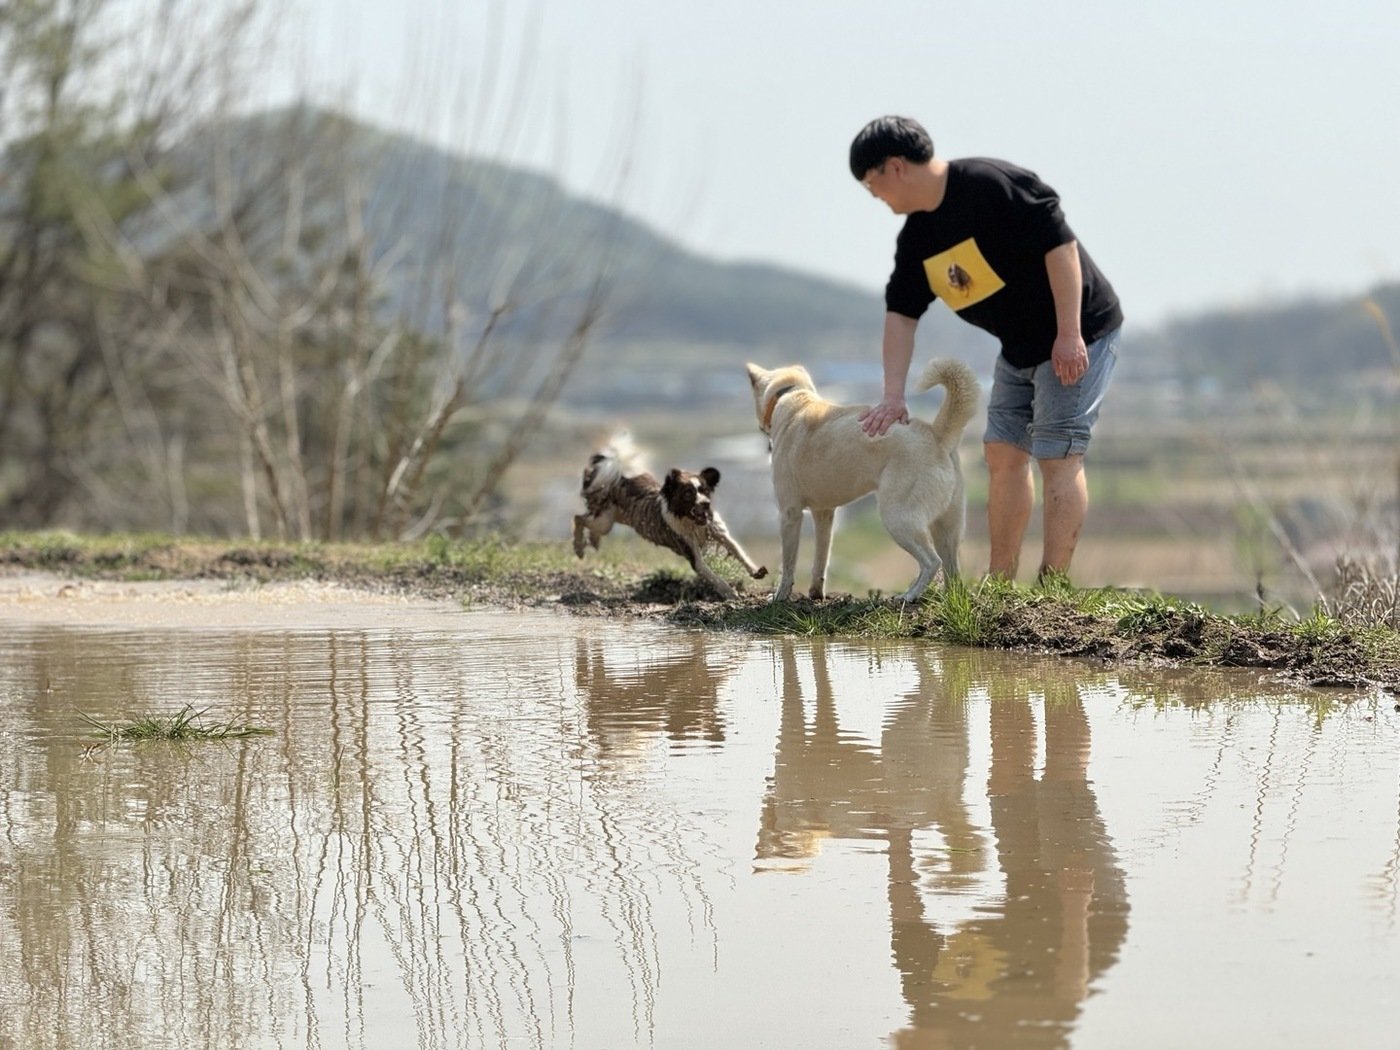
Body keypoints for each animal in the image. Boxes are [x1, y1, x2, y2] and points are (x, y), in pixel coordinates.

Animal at [568, 434, 767, 599]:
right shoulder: (693, 555)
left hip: (608, 520)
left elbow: (739, 552)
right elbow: (713, 576)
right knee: (579, 518)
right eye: (688, 494)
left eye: (704, 491)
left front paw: (756, 571)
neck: (693, 523)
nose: (705, 503)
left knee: (590, 524)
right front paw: (729, 593)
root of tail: (617, 477)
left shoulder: (719, 533)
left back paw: (593, 541)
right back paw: (578, 547)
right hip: (604, 520)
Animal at [744, 358, 974, 604]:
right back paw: (950, 598)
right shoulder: (824, 514)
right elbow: (821, 559)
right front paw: (816, 593)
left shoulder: (790, 513)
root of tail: (937, 435)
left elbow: (787, 565)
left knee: (932, 562)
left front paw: (779, 597)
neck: (793, 395)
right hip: (947, 527)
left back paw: (909, 595)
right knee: (952, 570)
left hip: (898, 519)